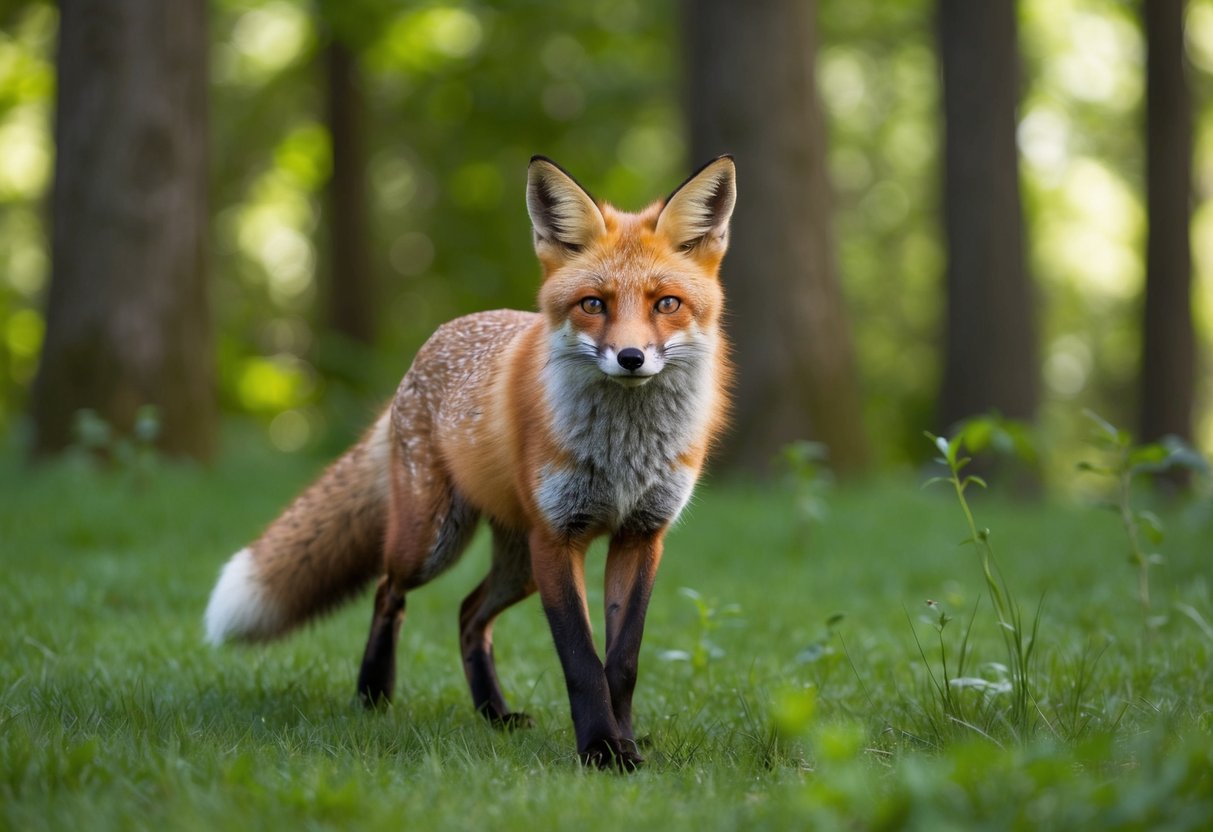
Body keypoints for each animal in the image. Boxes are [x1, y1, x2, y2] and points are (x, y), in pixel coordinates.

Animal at [205, 154, 737, 769]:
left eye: (666, 303)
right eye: (593, 304)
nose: (631, 358)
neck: (624, 452)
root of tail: (430, 346)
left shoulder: (642, 536)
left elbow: (620, 663)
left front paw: (625, 741)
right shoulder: (559, 538)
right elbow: (581, 662)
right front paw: (601, 750)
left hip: (518, 564)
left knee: (468, 614)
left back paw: (494, 713)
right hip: (435, 542)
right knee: (388, 590)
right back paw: (373, 694)